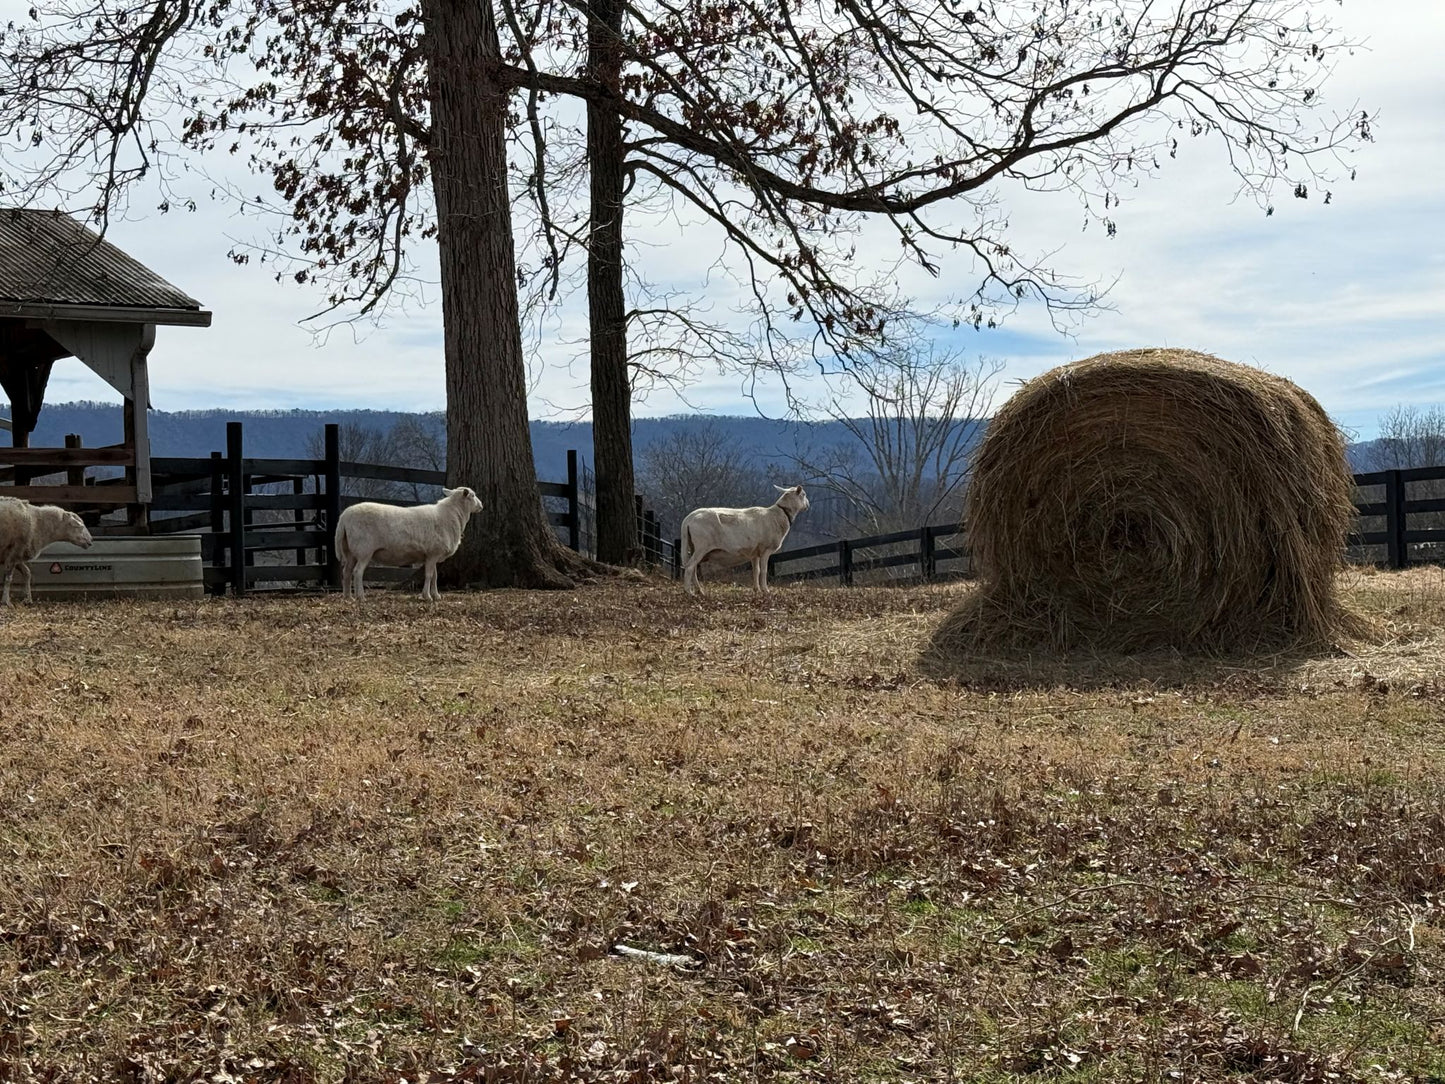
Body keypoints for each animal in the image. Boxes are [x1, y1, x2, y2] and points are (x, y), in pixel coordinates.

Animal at [335, 486, 484, 601]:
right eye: (473, 495)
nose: (481, 506)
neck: (451, 515)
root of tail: (344, 517)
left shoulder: (432, 555)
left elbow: (435, 576)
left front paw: (436, 595)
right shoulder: (433, 553)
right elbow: (429, 575)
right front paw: (427, 596)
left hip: (350, 550)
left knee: (347, 571)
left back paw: (348, 597)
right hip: (364, 549)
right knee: (357, 572)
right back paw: (360, 596)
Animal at [680, 484, 809, 596]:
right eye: (803, 494)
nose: (808, 505)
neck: (779, 515)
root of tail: (688, 519)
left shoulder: (755, 553)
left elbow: (756, 571)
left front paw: (757, 589)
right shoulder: (766, 549)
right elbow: (764, 570)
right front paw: (765, 590)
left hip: (693, 546)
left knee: (694, 568)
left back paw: (700, 590)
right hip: (702, 546)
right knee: (690, 567)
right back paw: (689, 592)